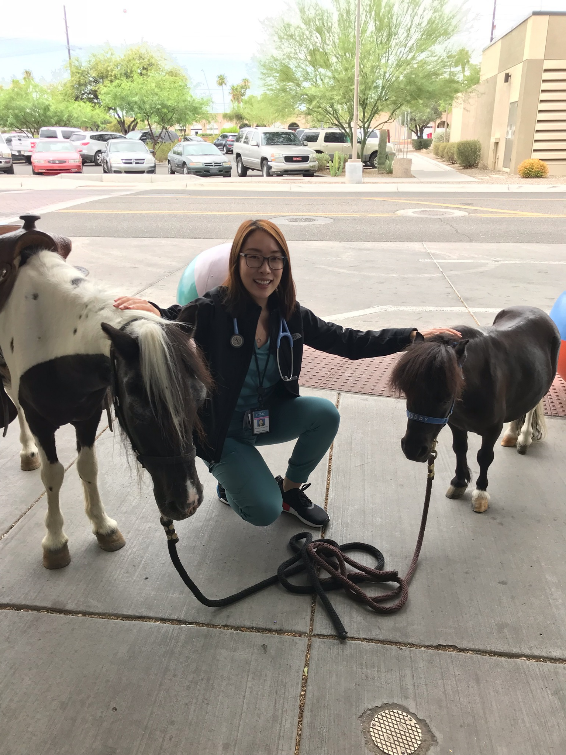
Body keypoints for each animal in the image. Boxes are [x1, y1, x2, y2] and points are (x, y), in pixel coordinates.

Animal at [0, 247, 211, 568]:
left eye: (199, 398)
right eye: (138, 409)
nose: (187, 503)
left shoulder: (88, 416)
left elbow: (88, 467)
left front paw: (103, 527)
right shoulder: (41, 423)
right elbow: (53, 476)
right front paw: (55, 541)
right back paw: (27, 452)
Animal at [392, 308, 560, 512]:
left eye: (447, 395)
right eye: (407, 390)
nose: (412, 450)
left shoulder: (492, 429)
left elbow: (484, 457)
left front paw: (480, 493)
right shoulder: (456, 424)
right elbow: (459, 449)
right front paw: (458, 482)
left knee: (532, 407)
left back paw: (523, 439)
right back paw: (511, 435)